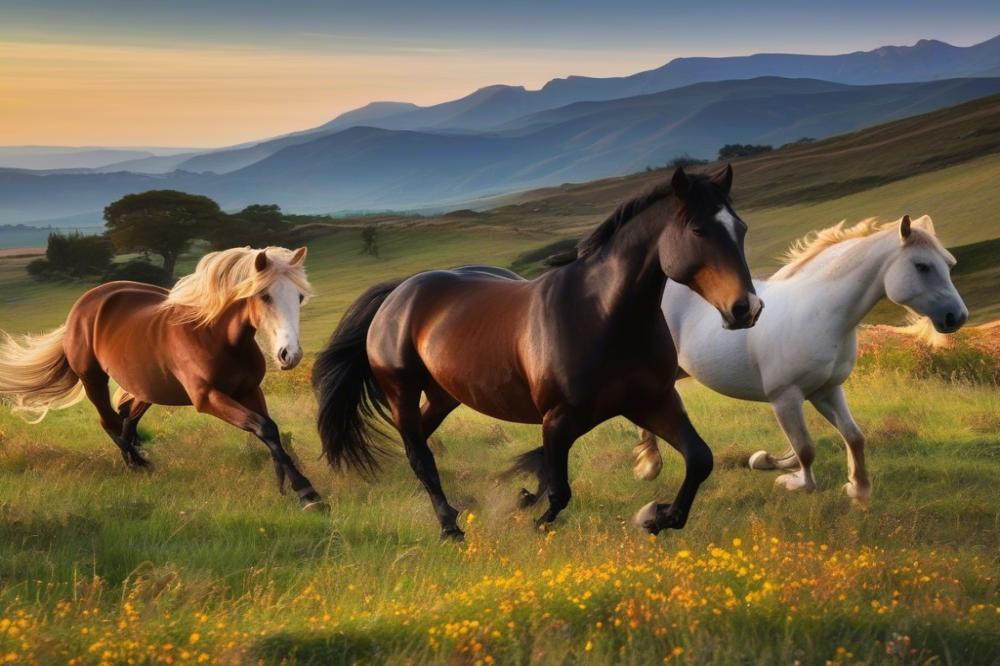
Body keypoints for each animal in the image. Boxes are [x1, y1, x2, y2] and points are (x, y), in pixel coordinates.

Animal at [0, 246, 326, 510]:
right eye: (264, 296)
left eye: (299, 296)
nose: (289, 355)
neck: (214, 335)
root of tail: (84, 304)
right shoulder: (207, 398)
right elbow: (264, 427)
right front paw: (306, 492)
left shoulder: (249, 390)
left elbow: (269, 430)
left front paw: (294, 486)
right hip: (93, 379)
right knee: (110, 422)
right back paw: (138, 464)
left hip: (147, 386)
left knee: (127, 419)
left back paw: (138, 459)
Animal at [313, 165, 763, 539]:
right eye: (699, 230)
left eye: (741, 228)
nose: (746, 308)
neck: (604, 315)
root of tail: (399, 292)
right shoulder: (559, 418)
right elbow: (559, 488)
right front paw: (532, 519)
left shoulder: (652, 402)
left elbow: (700, 458)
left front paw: (660, 517)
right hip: (401, 390)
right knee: (418, 452)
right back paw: (449, 527)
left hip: (444, 394)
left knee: (419, 440)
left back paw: (456, 507)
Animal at [626, 215, 967, 502]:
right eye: (922, 266)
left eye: (949, 264)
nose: (957, 317)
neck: (819, 312)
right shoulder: (785, 397)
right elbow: (805, 448)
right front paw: (796, 482)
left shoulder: (827, 390)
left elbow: (853, 436)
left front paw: (858, 488)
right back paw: (650, 466)